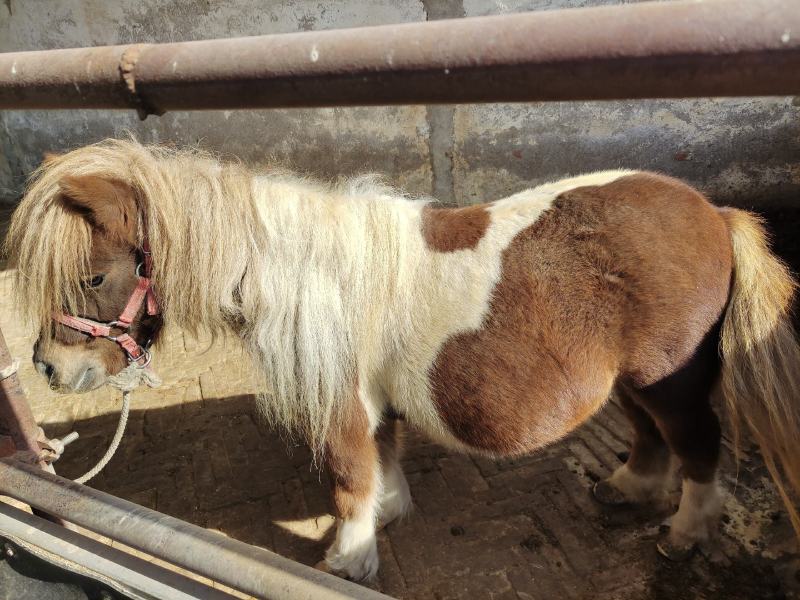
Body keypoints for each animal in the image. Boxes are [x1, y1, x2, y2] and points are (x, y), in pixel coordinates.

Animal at [6, 139, 800, 582]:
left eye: (92, 278)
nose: (50, 370)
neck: (306, 271)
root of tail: (714, 213)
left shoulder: (341, 403)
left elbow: (349, 479)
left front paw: (349, 561)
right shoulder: (370, 399)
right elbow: (383, 459)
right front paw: (388, 517)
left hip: (674, 380)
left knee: (699, 447)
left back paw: (683, 537)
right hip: (631, 381)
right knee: (650, 436)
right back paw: (629, 488)